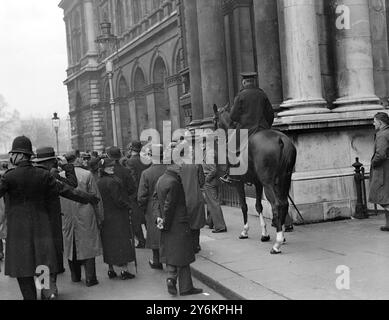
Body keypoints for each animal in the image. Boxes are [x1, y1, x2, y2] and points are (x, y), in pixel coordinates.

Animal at [211, 104, 296, 254]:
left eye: (214, 120)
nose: (214, 137)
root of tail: (280, 140)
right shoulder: (257, 183)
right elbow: (258, 206)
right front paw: (264, 234)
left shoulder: (239, 183)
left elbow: (244, 206)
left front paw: (245, 231)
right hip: (284, 179)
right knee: (284, 204)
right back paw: (281, 236)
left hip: (269, 183)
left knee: (276, 205)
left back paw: (277, 244)